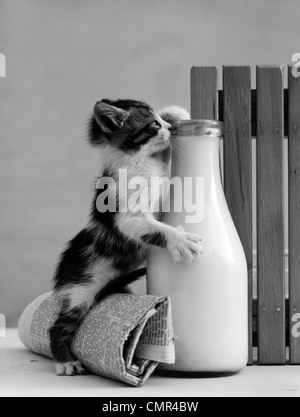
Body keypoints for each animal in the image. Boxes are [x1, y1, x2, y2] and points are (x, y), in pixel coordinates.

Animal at [50, 99, 203, 376]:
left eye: (161, 122)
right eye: (153, 125)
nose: (170, 128)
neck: (137, 161)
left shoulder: (160, 168)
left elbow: (165, 156)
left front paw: (175, 112)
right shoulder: (126, 212)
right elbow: (146, 226)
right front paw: (180, 241)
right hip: (79, 288)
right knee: (61, 324)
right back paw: (65, 362)